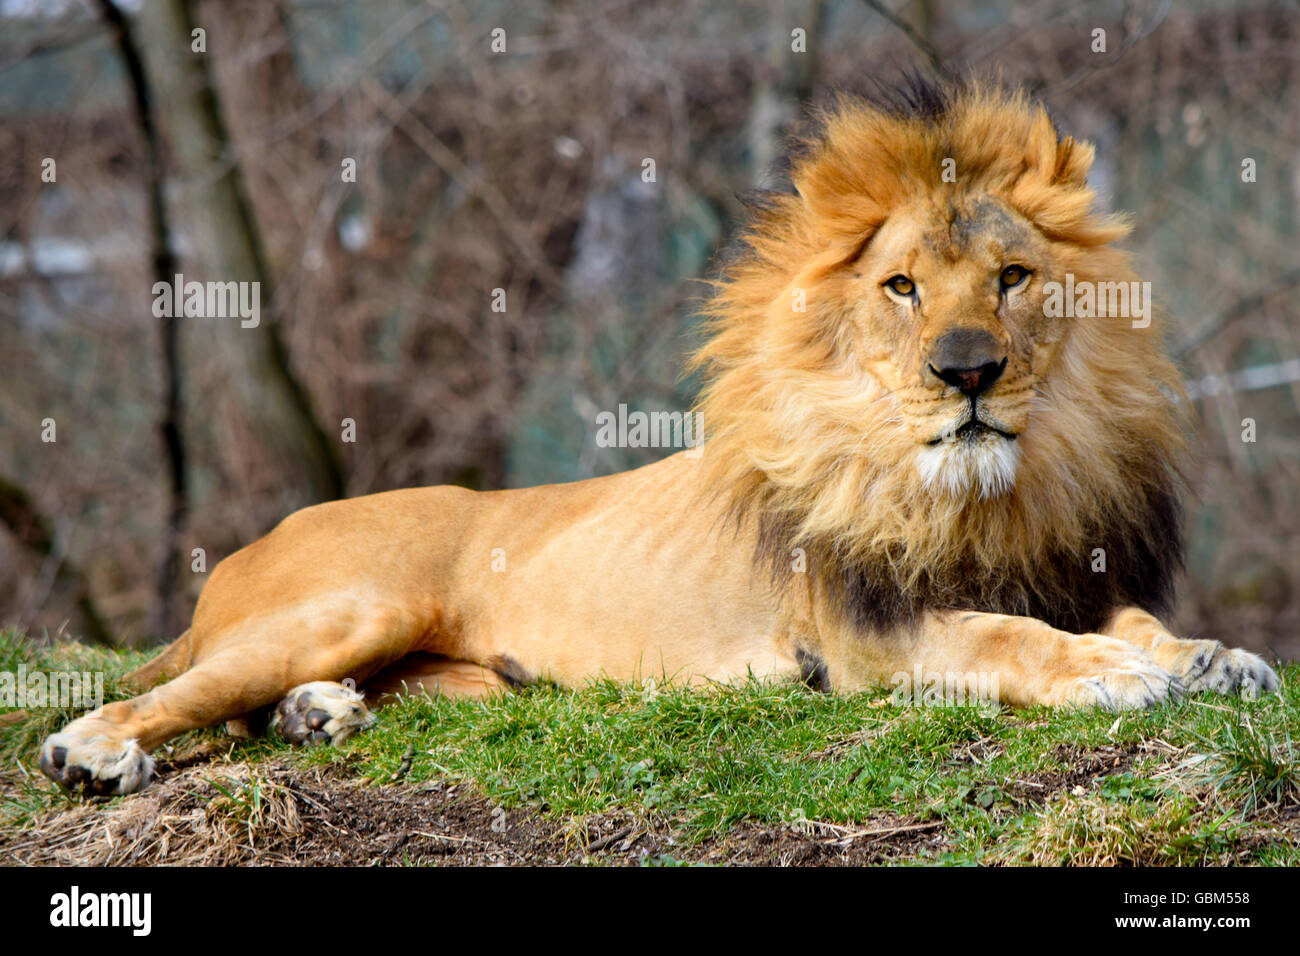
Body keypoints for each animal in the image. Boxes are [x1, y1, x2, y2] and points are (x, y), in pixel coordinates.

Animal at [37, 77, 1278, 796]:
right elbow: (1002, 635)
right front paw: (1111, 673)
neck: (984, 487)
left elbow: (1126, 615)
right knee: (156, 693)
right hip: (349, 602)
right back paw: (94, 750)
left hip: (469, 676)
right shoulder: (866, 637)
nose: (966, 370)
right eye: (902, 287)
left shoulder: (1070, 567)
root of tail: (245, 551)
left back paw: (317, 713)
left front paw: (1203, 653)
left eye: (1012, 276)